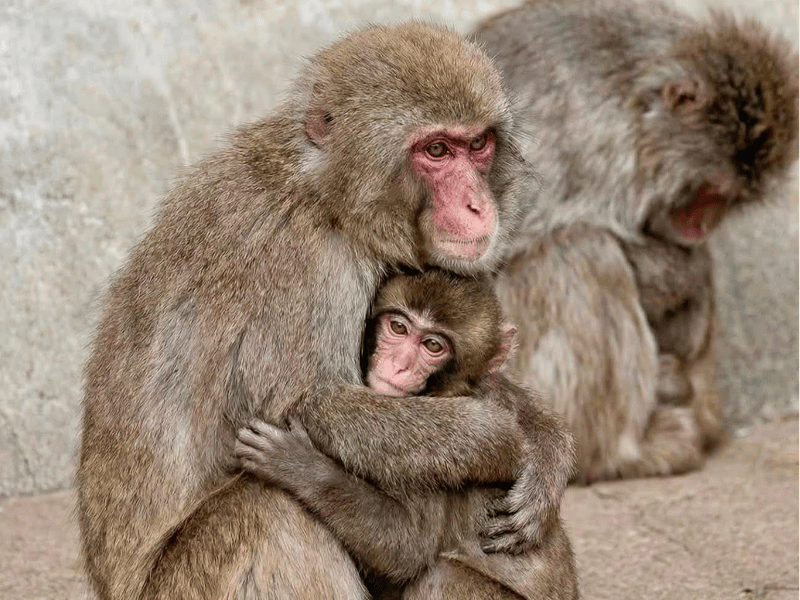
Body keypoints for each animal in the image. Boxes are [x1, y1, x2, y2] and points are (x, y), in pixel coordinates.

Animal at [235, 268, 578, 600]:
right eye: (398, 327)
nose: (398, 365)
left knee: (441, 578)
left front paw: (299, 466)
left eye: (433, 346)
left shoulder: (443, 463)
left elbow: (407, 548)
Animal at [473, 0, 798, 482]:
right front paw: (682, 275)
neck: (631, 100)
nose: (702, 227)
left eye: (731, 200)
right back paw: (619, 454)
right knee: (577, 250)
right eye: (709, 192)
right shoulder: (581, 142)